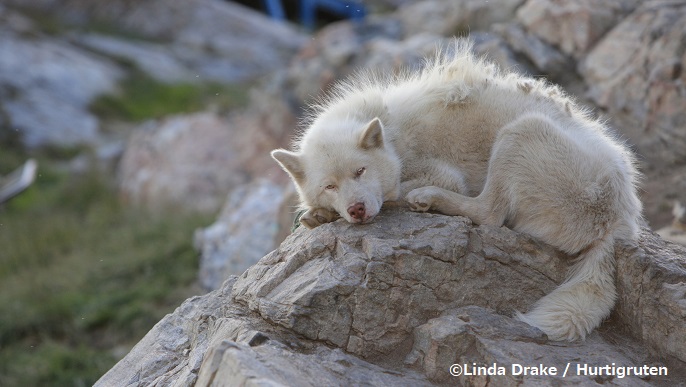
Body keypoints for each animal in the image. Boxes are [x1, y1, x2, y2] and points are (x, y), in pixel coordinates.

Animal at [272, 40, 644, 342]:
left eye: (360, 171)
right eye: (330, 186)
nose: (357, 210)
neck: (390, 133)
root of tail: (619, 224)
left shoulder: (444, 175)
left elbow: (396, 192)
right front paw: (318, 214)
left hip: (521, 131)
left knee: (489, 214)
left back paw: (428, 199)